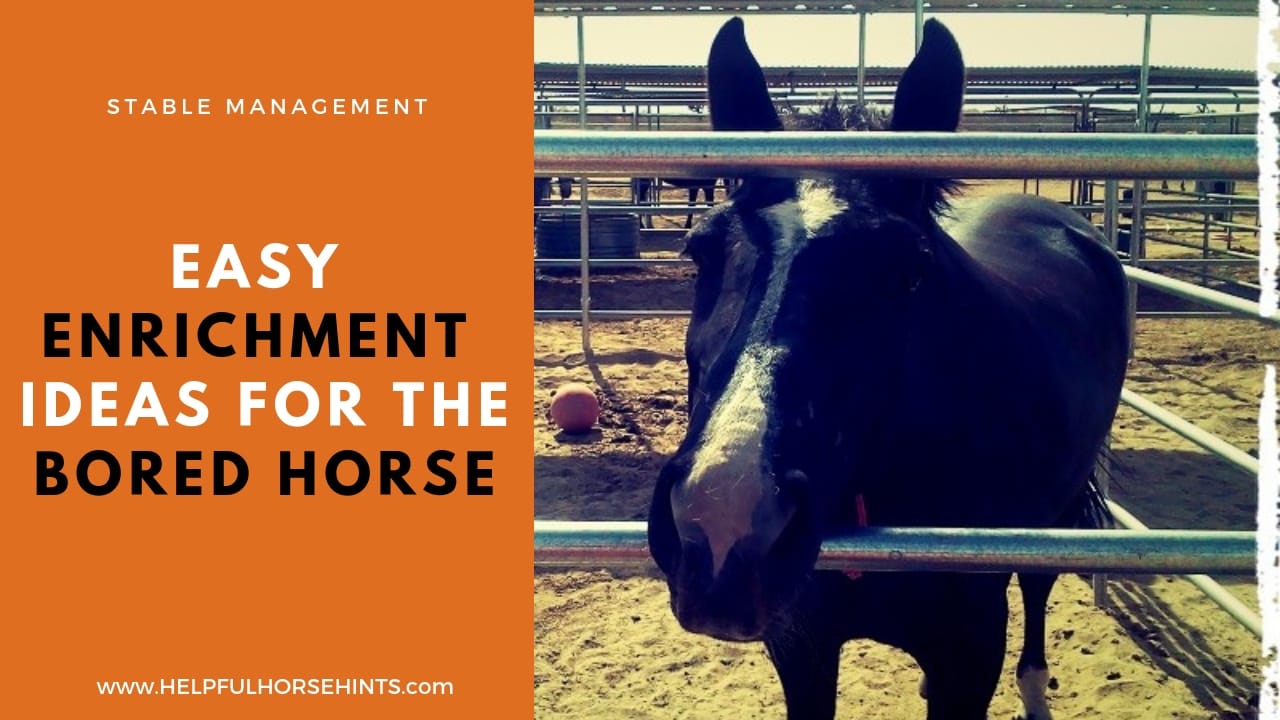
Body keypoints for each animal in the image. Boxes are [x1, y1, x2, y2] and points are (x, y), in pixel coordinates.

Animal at [646, 17, 1129, 720]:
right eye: (700, 252)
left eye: (908, 272)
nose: (721, 526)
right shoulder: (802, 646)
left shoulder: (971, 652)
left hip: (1056, 515)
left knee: (1038, 590)